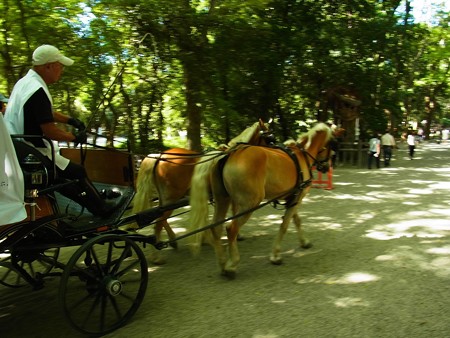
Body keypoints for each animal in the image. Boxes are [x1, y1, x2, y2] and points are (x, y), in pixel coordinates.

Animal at [188, 121, 332, 278]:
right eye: (270, 138)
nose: (327, 165)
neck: (301, 155)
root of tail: (230, 154)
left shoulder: (293, 197)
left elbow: (296, 220)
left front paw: (304, 242)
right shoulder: (297, 197)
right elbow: (285, 225)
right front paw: (275, 255)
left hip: (223, 200)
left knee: (216, 227)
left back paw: (222, 263)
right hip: (249, 204)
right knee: (231, 228)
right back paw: (232, 264)